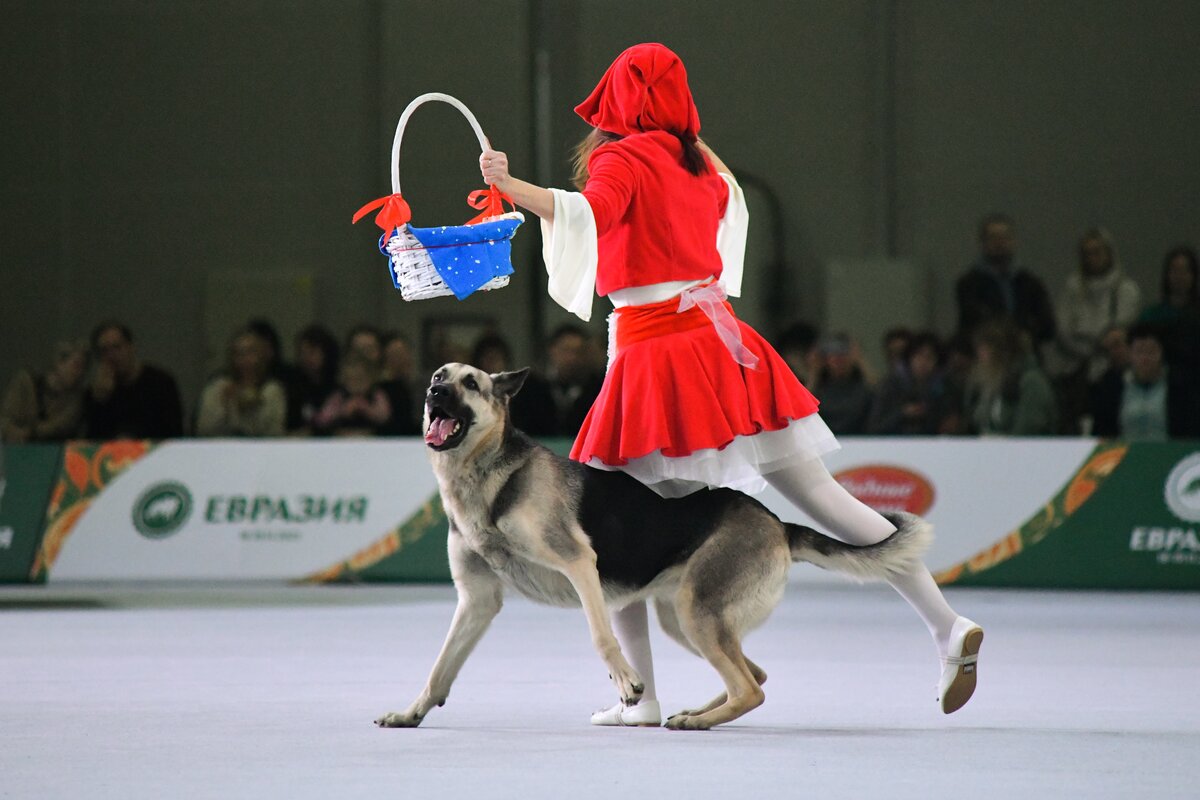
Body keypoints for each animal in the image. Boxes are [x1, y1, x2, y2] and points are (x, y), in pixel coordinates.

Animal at [375, 363, 932, 730]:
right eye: (438, 376)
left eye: (470, 383)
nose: (434, 391)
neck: (486, 477)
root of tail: (777, 522)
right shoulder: (477, 602)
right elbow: (439, 669)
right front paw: (412, 713)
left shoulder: (580, 566)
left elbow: (603, 638)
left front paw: (626, 682)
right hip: (685, 619)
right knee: (753, 673)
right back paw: (701, 711)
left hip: (696, 612)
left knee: (750, 687)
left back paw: (699, 721)